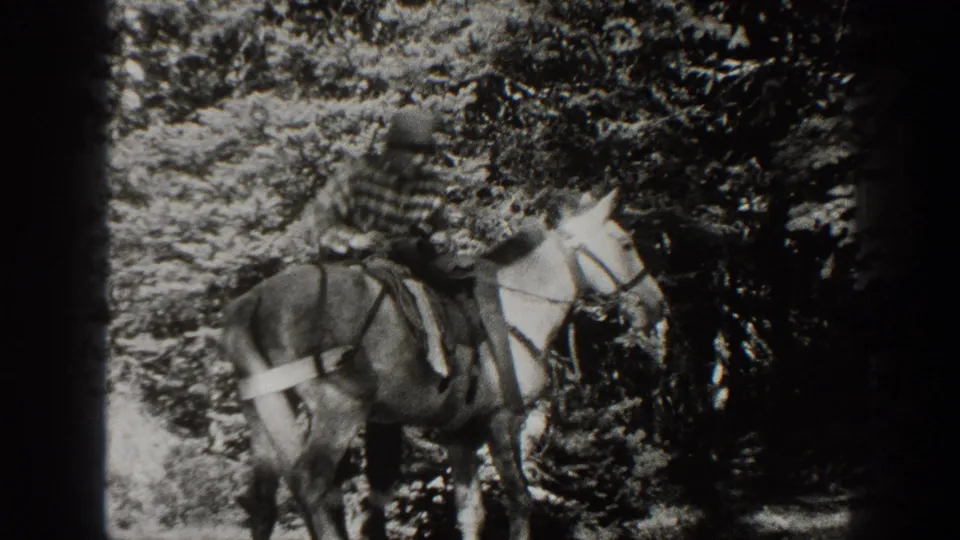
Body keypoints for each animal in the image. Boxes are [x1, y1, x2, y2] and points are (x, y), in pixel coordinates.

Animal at [221, 187, 669, 540]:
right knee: (314, 488)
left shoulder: (462, 435)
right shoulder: (503, 422)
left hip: (265, 412)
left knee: (266, 503)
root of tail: (253, 303)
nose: (656, 304)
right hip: (338, 413)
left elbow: (471, 515)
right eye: (625, 244)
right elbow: (519, 501)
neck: (515, 306)